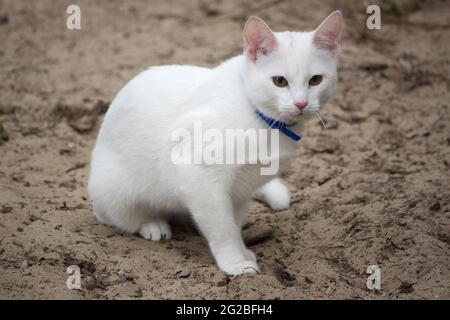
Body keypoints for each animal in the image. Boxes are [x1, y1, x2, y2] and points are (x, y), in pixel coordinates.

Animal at [87, 10, 342, 276]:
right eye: (279, 81)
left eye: (315, 80)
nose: (301, 104)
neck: (262, 117)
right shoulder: (200, 176)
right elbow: (223, 228)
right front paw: (235, 264)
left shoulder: (241, 188)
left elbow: (234, 223)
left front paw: (242, 252)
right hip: (118, 192)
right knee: (114, 216)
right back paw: (152, 224)